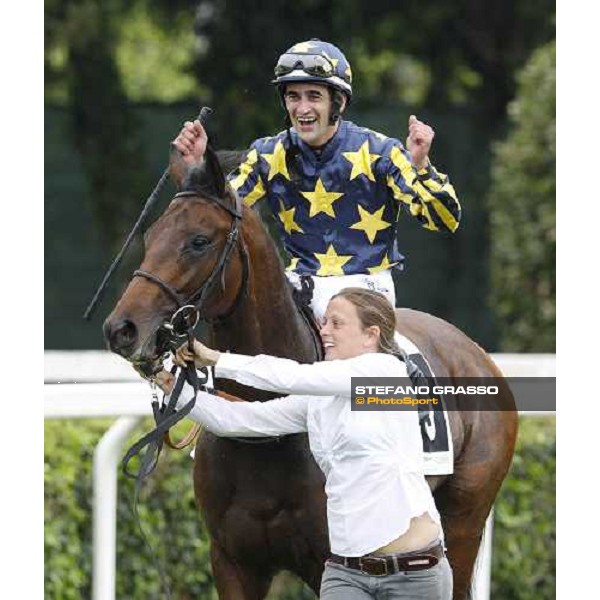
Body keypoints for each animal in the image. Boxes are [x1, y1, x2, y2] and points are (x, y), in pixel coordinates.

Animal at [103, 146, 516, 600]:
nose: (122, 329)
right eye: (150, 235)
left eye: (198, 241)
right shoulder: (233, 562)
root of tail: (475, 351)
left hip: (463, 524)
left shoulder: (331, 562)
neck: (265, 441)